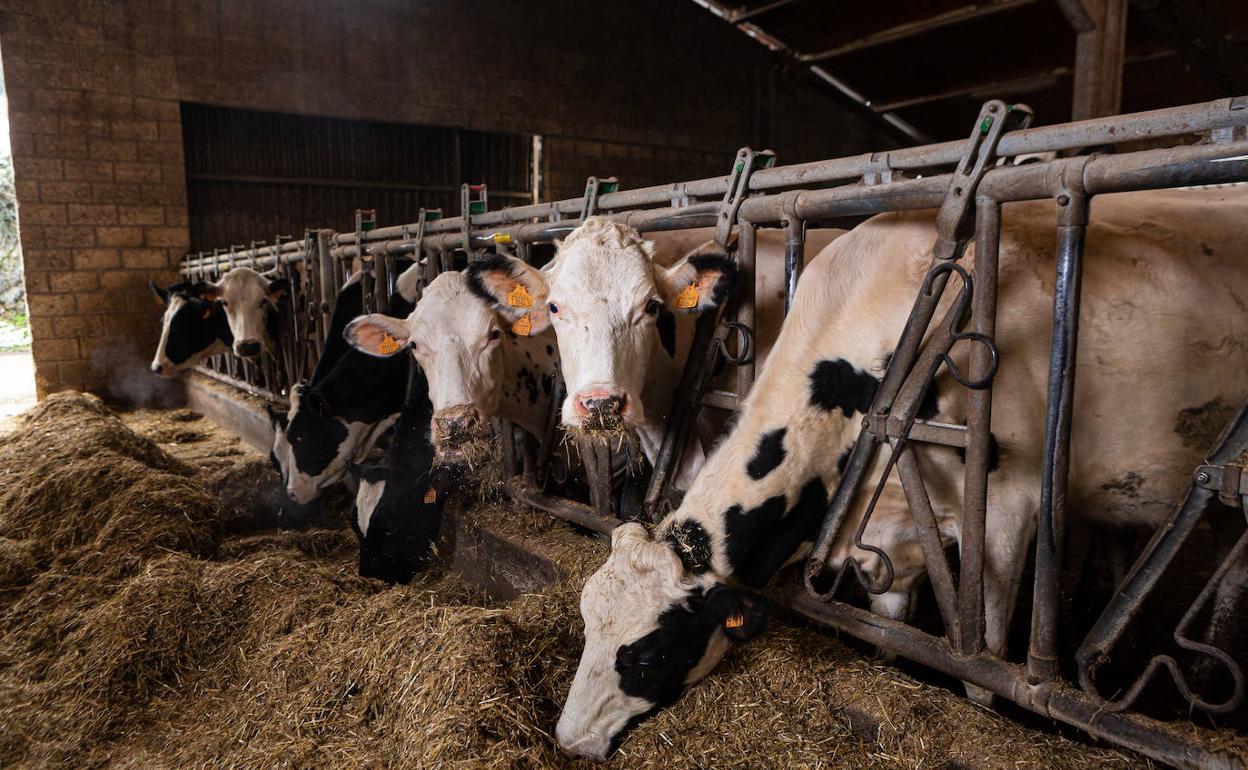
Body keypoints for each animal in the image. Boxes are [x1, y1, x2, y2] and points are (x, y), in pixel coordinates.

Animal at [555, 187, 1248, 758]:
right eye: (587, 621)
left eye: (649, 653)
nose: (569, 738)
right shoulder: (886, 537)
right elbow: (888, 632)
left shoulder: (1010, 509)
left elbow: (983, 664)